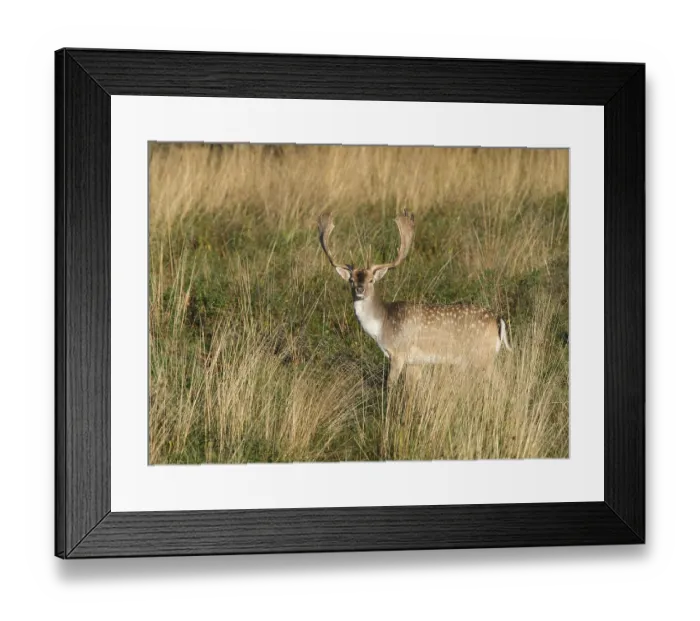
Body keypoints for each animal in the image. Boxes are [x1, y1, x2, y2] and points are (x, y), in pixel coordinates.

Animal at [317, 210, 512, 386]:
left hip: (483, 356)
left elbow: (391, 385)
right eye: (351, 280)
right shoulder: (415, 362)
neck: (382, 326)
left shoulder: (399, 353)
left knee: (502, 383)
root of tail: (498, 320)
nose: (359, 289)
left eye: (371, 280)